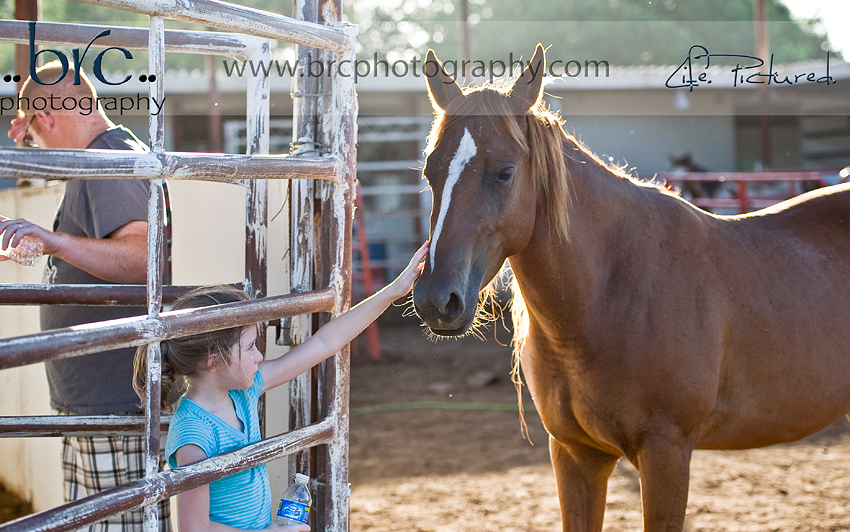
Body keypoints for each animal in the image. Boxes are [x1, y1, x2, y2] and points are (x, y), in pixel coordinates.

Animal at [412, 44, 850, 532]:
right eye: (430, 171)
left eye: (505, 172)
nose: (436, 300)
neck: (610, 296)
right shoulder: (576, 455)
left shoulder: (666, 455)